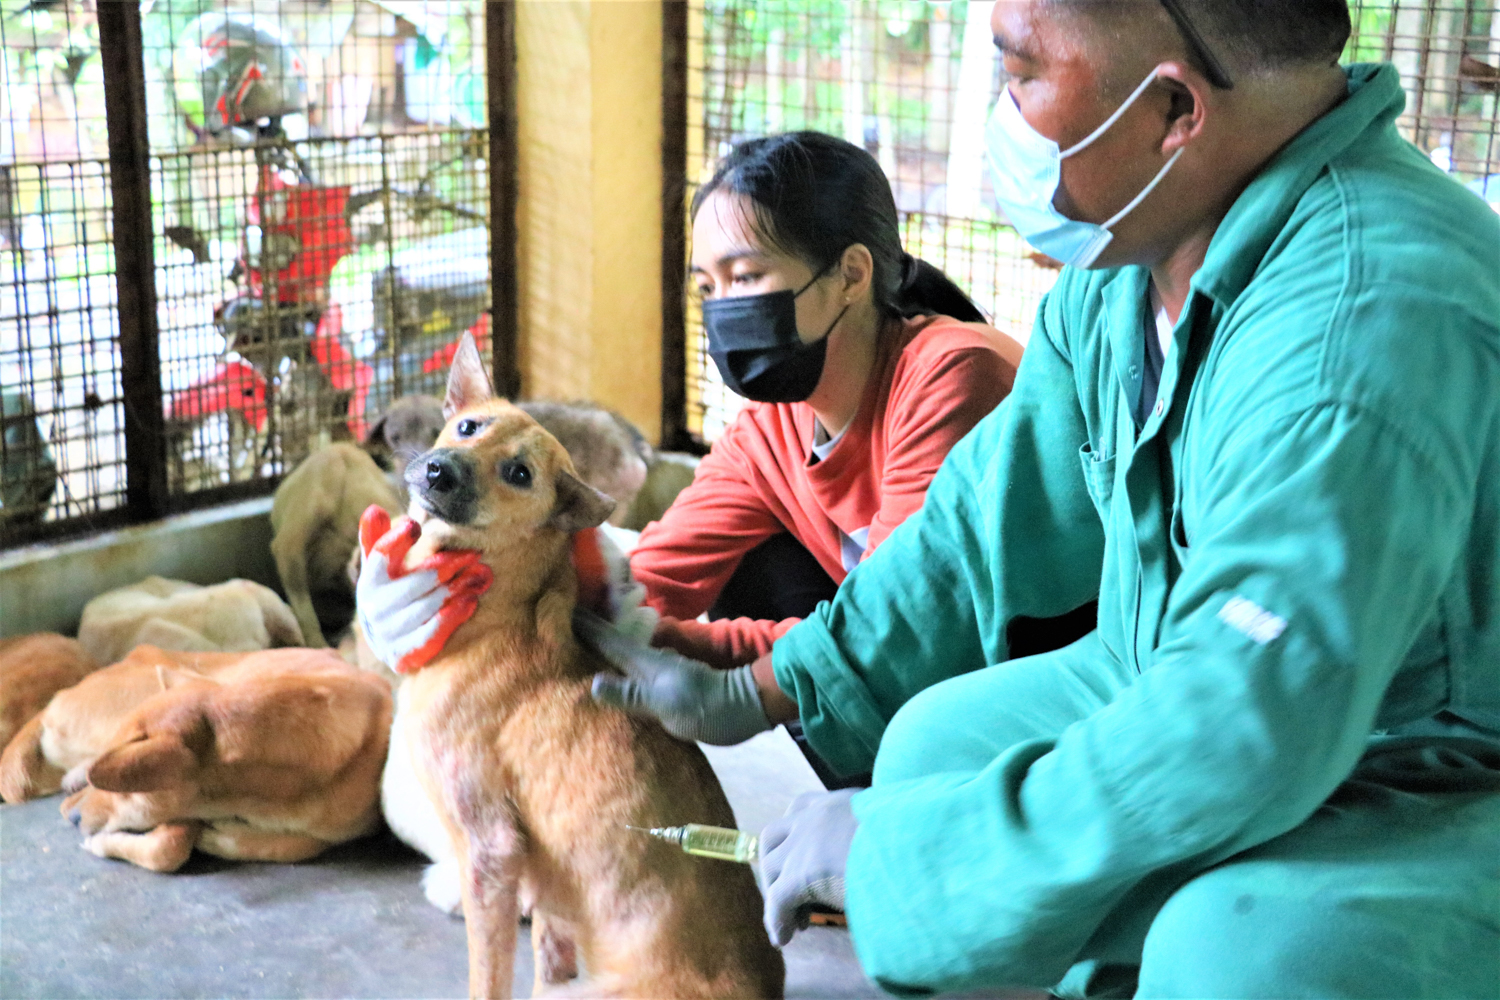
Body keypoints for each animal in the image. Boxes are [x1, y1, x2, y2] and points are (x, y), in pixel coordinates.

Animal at [366, 332, 786, 995]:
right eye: (467, 426)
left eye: (520, 474)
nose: (438, 469)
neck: (503, 609)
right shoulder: (550, 908)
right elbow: (545, 958)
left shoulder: (491, 851)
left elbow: (487, 977)